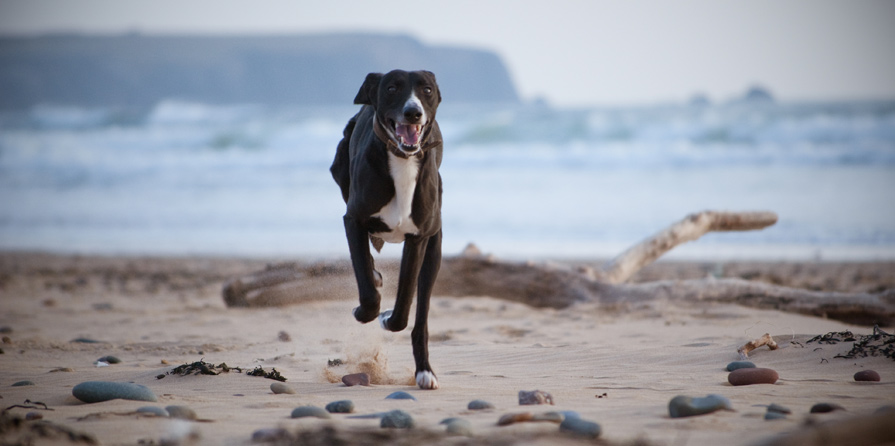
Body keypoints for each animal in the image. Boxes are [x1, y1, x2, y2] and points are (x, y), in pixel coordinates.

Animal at [330, 69, 442, 386]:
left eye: (427, 90)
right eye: (391, 88)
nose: (413, 112)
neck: (402, 161)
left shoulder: (418, 239)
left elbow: (403, 306)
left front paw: (387, 318)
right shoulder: (353, 221)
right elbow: (368, 290)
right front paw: (364, 311)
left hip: (434, 249)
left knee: (420, 316)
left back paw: (425, 371)